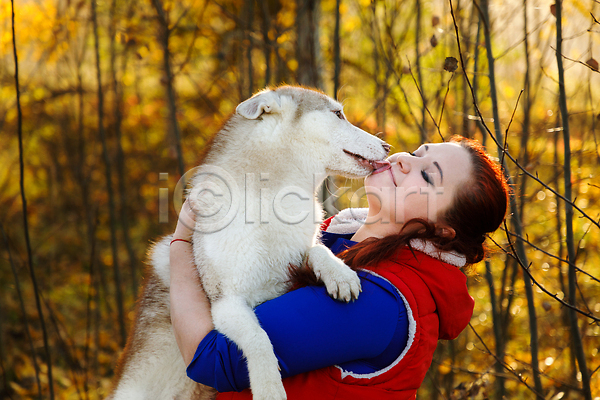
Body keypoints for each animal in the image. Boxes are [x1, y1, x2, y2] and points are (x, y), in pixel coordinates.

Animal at [109, 86, 390, 398]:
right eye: (338, 114)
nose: (387, 146)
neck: (272, 203)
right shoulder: (227, 304)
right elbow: (259, 337)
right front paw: (269, 388)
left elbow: (316, 249)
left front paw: (339, 273)